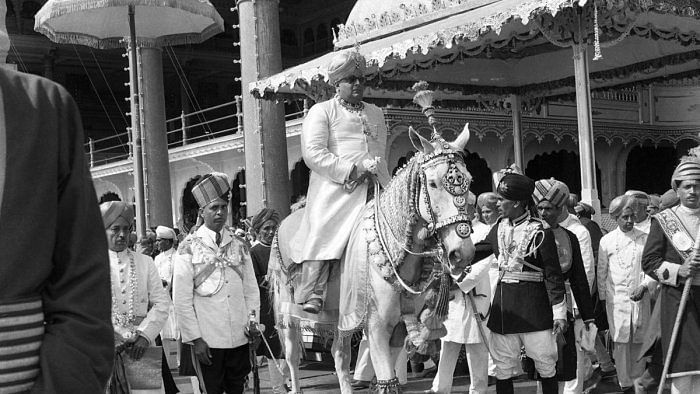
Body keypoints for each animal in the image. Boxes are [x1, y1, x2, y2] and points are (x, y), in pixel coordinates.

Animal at [268, 124, 476, 392]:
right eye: (432, 183)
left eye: (469, 181)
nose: (462, 252)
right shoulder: (376, 326)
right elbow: (387, 380)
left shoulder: (398, 328)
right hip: (288, 308)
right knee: (293, 355)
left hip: (339, 314)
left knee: (339, 355)